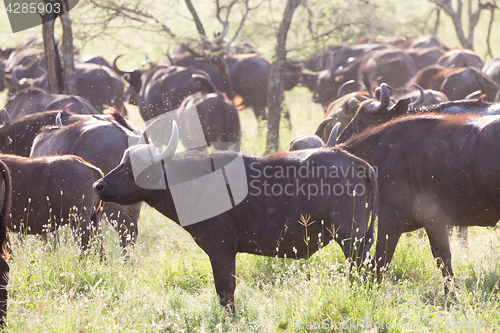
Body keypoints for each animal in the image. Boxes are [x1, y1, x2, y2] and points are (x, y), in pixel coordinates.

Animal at [93, 121, 376, 312]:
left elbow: (225, 291)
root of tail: (352, 160)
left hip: (352, 240)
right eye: (121, 162)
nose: (98, 185)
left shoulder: (221, 250)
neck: (196, 182)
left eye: (135, 168)